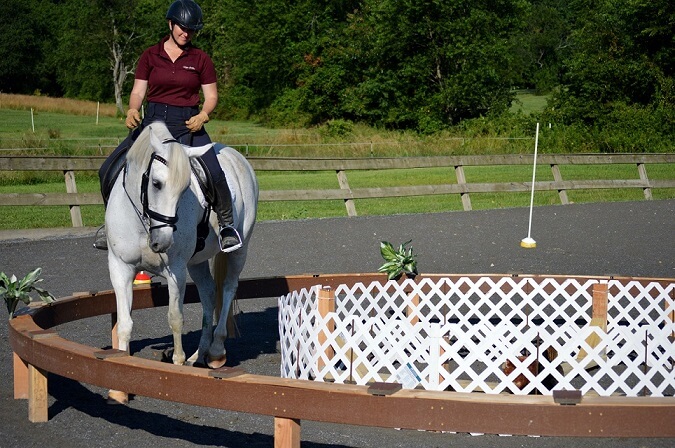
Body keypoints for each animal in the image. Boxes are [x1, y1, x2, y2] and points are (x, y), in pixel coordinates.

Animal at [105, 121, 258, 402]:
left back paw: (216, 351)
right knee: (208, 293)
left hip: (238, 251)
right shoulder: (120, 267)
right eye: (156, 184)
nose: (163, 242)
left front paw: (176, 364)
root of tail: (235, 154)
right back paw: (199, 355)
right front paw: (119, 386)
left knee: (228, 288)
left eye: (185, 188)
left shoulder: (175, 269)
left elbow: (175, 317)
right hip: (196, 262)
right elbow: (124, 323)